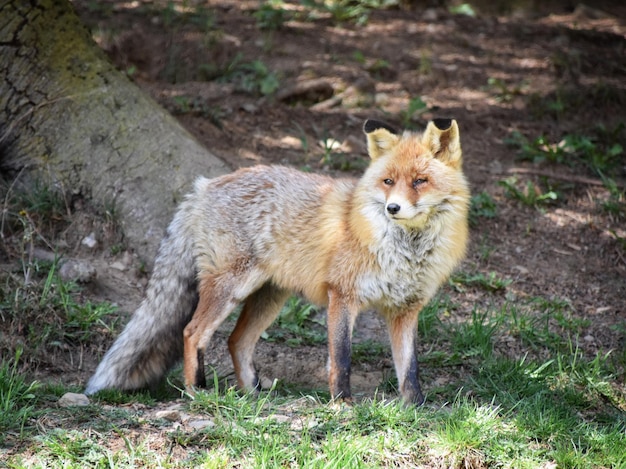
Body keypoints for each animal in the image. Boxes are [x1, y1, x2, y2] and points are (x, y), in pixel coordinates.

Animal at [86, 119, 468, 404]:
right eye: (388, 181)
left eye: (420, 181)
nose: (392, 208)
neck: (407, 252)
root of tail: (206, 185)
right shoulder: (342, 296)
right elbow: (341, 358)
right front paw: (342, 404)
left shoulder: (405, 310)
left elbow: (410, 369)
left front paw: (415, 408)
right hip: (231, 288)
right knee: (192, 332)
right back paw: (198, 391)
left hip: (268, 298)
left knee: (236, 341)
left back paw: (253, 396)